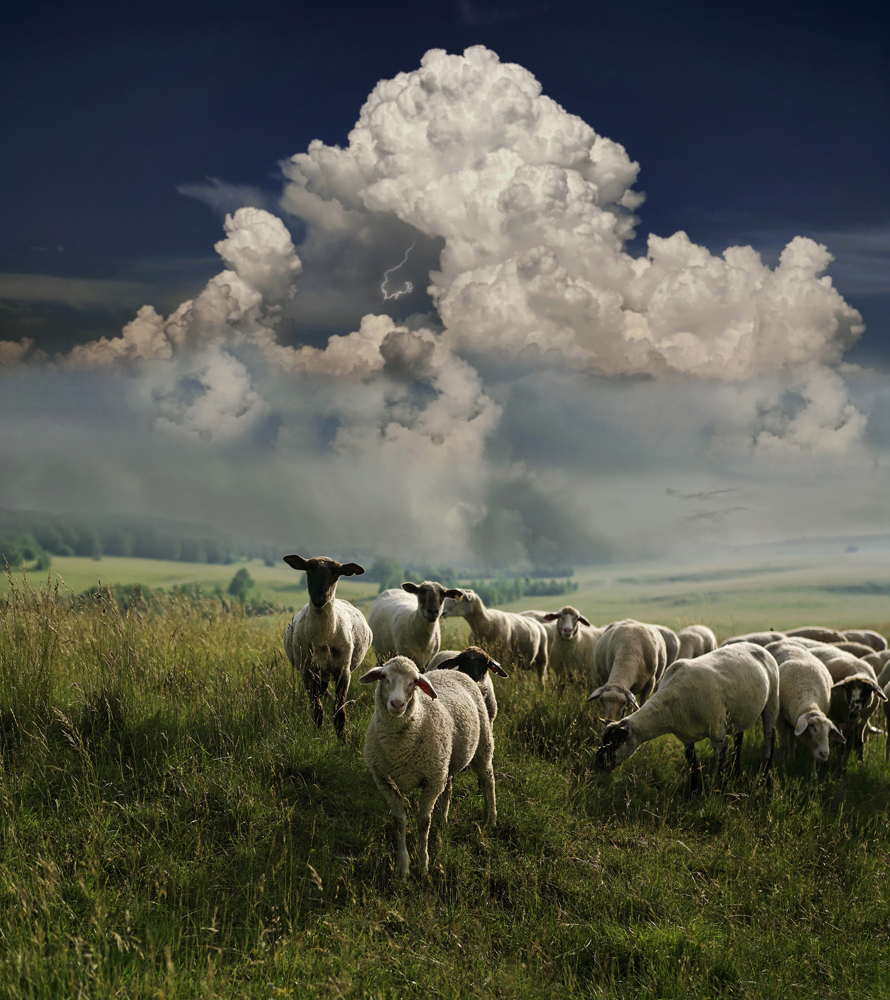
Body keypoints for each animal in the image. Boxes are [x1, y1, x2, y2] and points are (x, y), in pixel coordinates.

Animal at [280, 552, 372, 740]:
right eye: (309, 569)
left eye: (337, 572)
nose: (319, 597)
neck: (323, 638)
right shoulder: (307, 672)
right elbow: (317, 710)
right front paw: (316, 738)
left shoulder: (343, 671)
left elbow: (339, 713)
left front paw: (342, 741)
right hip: (319, 674)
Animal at [356, 656, 492, 876]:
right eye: (383, 676)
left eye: (414, 681)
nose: (397, 704)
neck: (399, 749)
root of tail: (453, 671)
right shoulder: (384, 780)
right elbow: (399, 821)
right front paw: (403, 866)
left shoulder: (432, 781)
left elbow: (423, 822)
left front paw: (423, 865)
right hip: (446, 761)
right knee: (449, 788)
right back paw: (443, 821)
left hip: (482, 744)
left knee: (488, 778)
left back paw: (491, 819)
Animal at [596, 640, 776, 796]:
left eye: (613, 743)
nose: (596, 768)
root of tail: (755, 645)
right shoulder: (686, 736)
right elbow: (693, 766)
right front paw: (693, 794)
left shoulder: (717, 731)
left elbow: (719, 764)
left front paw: (720, 790)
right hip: (738, 715)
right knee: (739, 738)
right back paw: (736, 770)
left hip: (772, 702)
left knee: (769, 738)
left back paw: (767, 776)